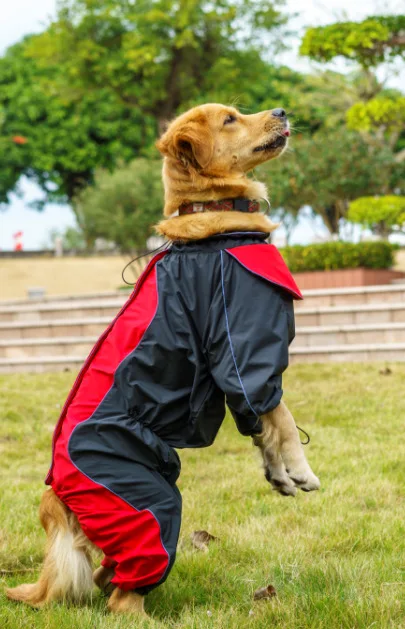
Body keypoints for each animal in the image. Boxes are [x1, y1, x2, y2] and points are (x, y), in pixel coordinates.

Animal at [7, 102, 318, 612]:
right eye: (231, 120)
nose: (281, 110)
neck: (212, 218)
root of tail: (54, 498)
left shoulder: (240, 378)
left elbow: (263, 427)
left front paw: (278, 474)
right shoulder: (241, 353)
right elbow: (282, 417)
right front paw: (301, 470)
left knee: (105, 573)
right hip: (147, 503)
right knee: (122, 589)